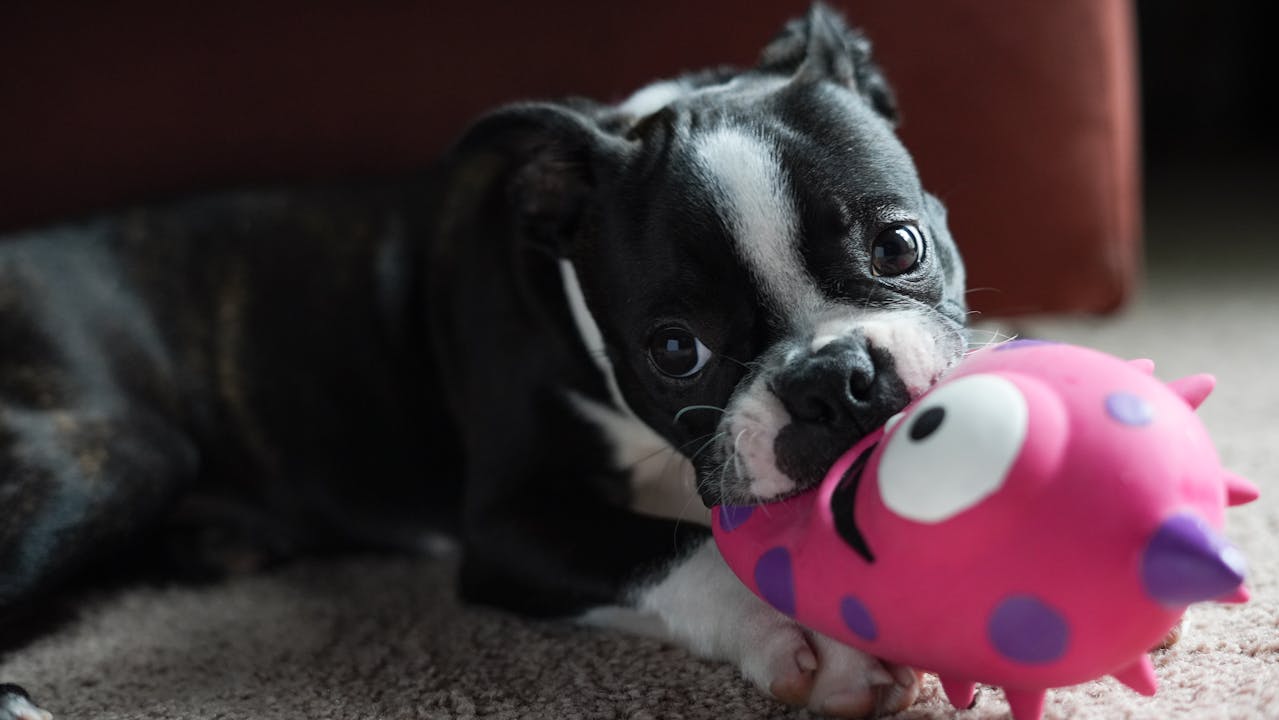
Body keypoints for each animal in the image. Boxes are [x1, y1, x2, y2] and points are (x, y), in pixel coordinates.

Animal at [0, 7, 966, 720]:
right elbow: (679, 546)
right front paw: (811, 633)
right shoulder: (512, 523)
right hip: (116, 454)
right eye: (674, 350)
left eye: (898, 245)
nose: (831, 381)